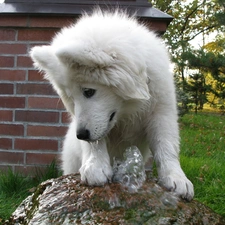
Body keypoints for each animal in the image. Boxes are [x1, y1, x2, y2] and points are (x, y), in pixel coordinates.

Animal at [30, 10, 194, 200]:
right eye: (71, 98)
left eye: (88, 91)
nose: (80, 135)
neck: (128, 111)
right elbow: (96, 142)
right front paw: (95, 166)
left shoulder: (161, 111)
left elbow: (166, 146)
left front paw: (176, 178)